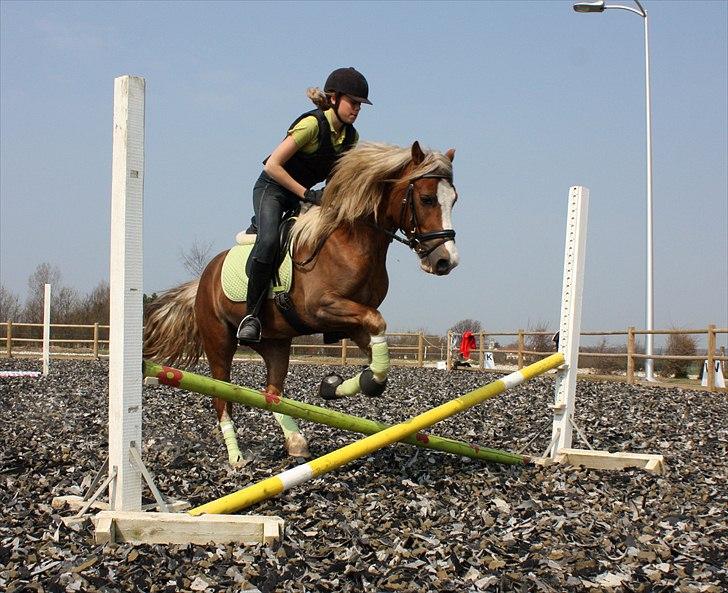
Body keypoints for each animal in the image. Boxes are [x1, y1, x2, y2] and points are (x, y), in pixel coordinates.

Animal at [143, 141, 458, 464]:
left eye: (454, 200)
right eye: (427, 198)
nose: (446, 261)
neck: (352, 241)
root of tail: (203, 279)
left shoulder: (353, 321)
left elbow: (378, 362)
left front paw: (333, 386)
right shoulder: (322, 308)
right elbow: (378, 322)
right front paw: (338, 384)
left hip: (275, 344)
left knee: (272, 392)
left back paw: (296, 442)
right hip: (219, 342)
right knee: (222, 398)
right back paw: (236, 458)